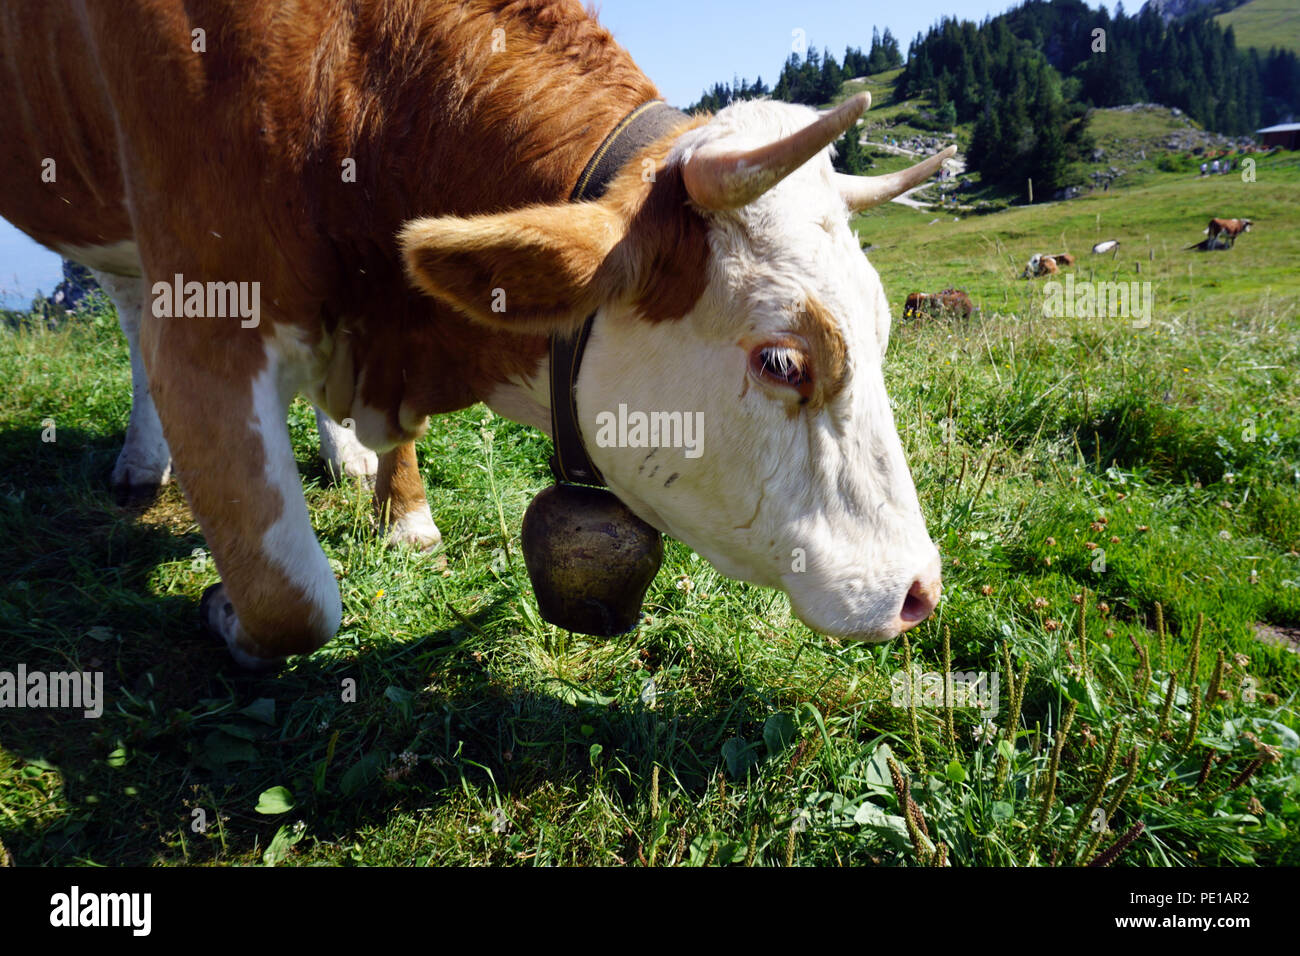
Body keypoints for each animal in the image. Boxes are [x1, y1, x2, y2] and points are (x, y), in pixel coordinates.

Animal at [5, 0, 951, 671]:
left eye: (883, 328)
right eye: (784, 360)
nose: (920, 591)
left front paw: (403, 512)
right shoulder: (206, 312)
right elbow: (293, 597)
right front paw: (225, 611)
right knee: (129, 309)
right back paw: (144, 459)